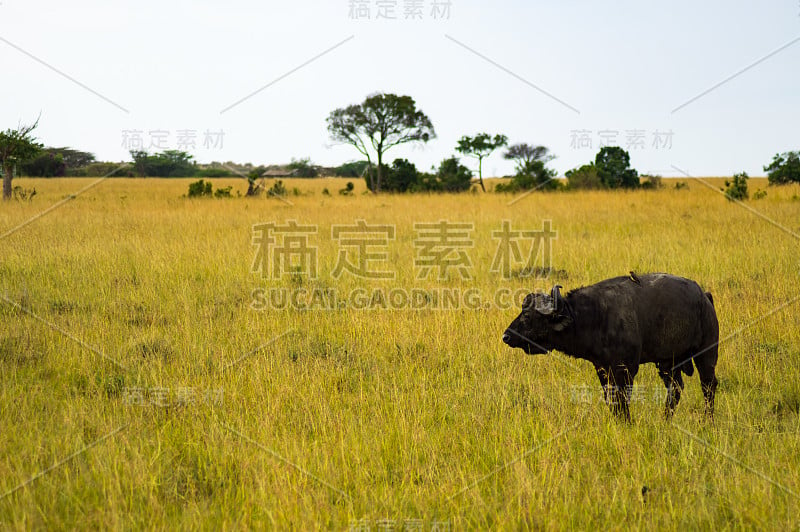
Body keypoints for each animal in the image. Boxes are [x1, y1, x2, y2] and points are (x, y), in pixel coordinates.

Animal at [500, 274, 720, 420]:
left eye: (527, 315)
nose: (506, 336)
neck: (595, 316)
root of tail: (704, 296)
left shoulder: (626, 369)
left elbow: (621, 398)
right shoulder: (602, 368)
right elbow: (610, 399)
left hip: (706, 355)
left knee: (708, 386)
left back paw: (707, 421)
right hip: (667, 363)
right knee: (675, 388)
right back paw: (665, 419)